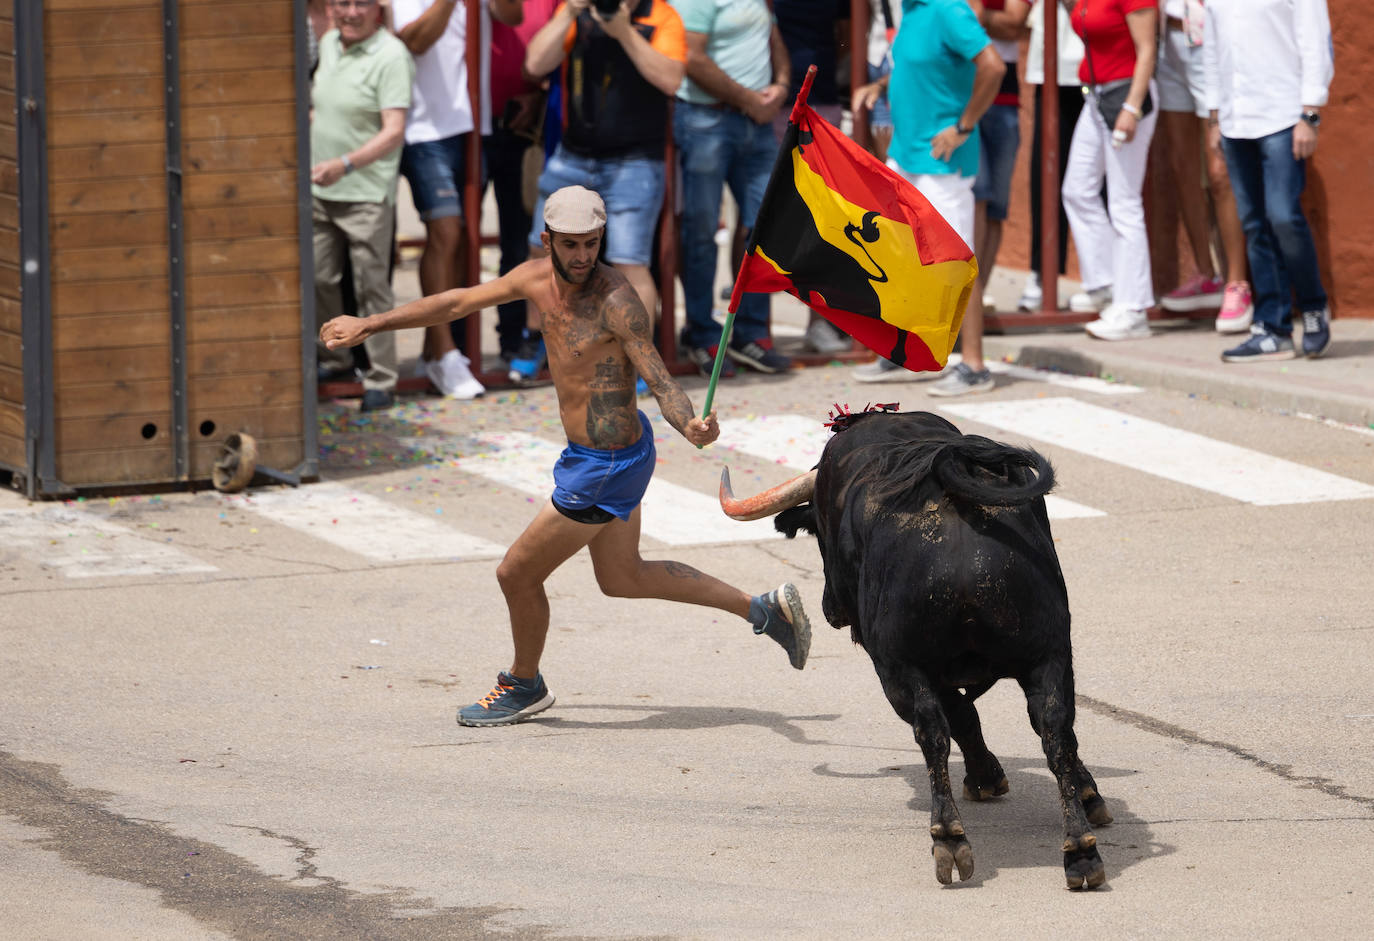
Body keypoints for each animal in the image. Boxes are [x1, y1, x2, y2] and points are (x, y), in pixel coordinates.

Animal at [719, 412, 1115, 890]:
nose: (830, 607)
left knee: (934, 733)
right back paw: (1080, 850)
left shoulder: (906, 666)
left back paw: (949, 838)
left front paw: (985, 777)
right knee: (1056, 731)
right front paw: (1089, 793)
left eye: (816, 528)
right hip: (1050, 652)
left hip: (902, 668)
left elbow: (959, 719)